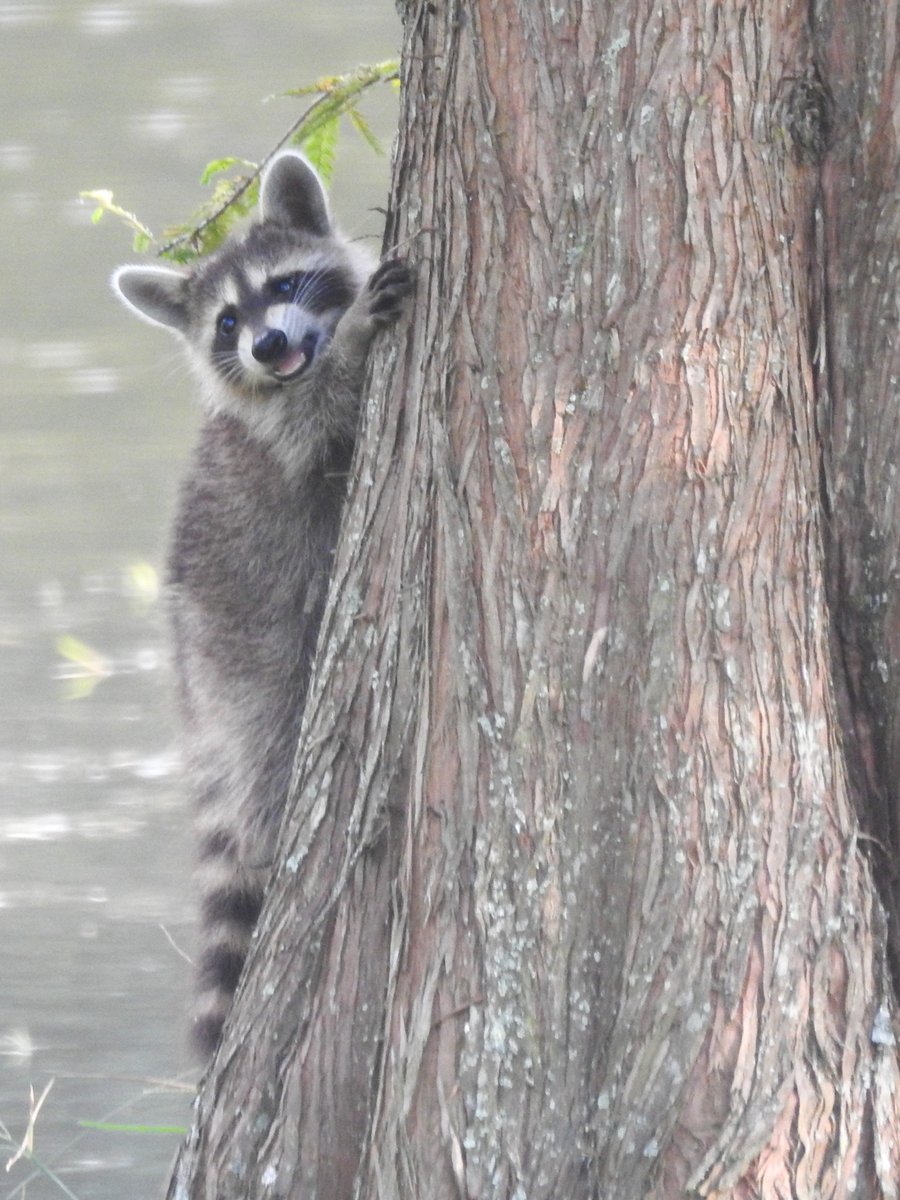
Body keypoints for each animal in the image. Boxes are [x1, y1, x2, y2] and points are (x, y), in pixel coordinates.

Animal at [112, 151, 412, 1057]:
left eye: (283, 285)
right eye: (224, 323)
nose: (268, 341)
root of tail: (190, 678)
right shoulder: (283, 438)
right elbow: (318, 415)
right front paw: (355, 342)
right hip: (244, 650)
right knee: (271, 759)